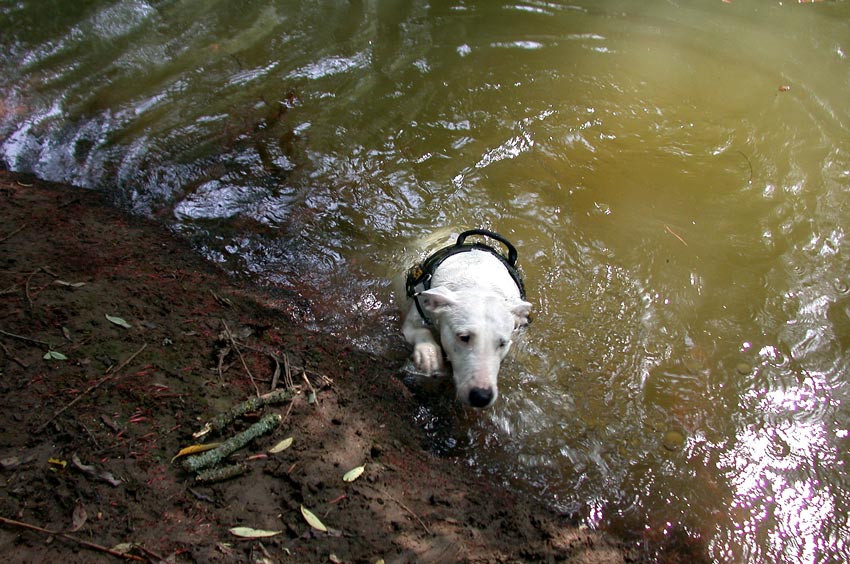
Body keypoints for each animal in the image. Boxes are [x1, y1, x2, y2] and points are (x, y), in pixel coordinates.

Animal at [402, 231, 528, 408]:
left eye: (502, 343)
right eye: (463, 337)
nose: (482, 396)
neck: (479, 283)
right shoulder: (416, 314)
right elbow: (419, 330)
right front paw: (430, 355)